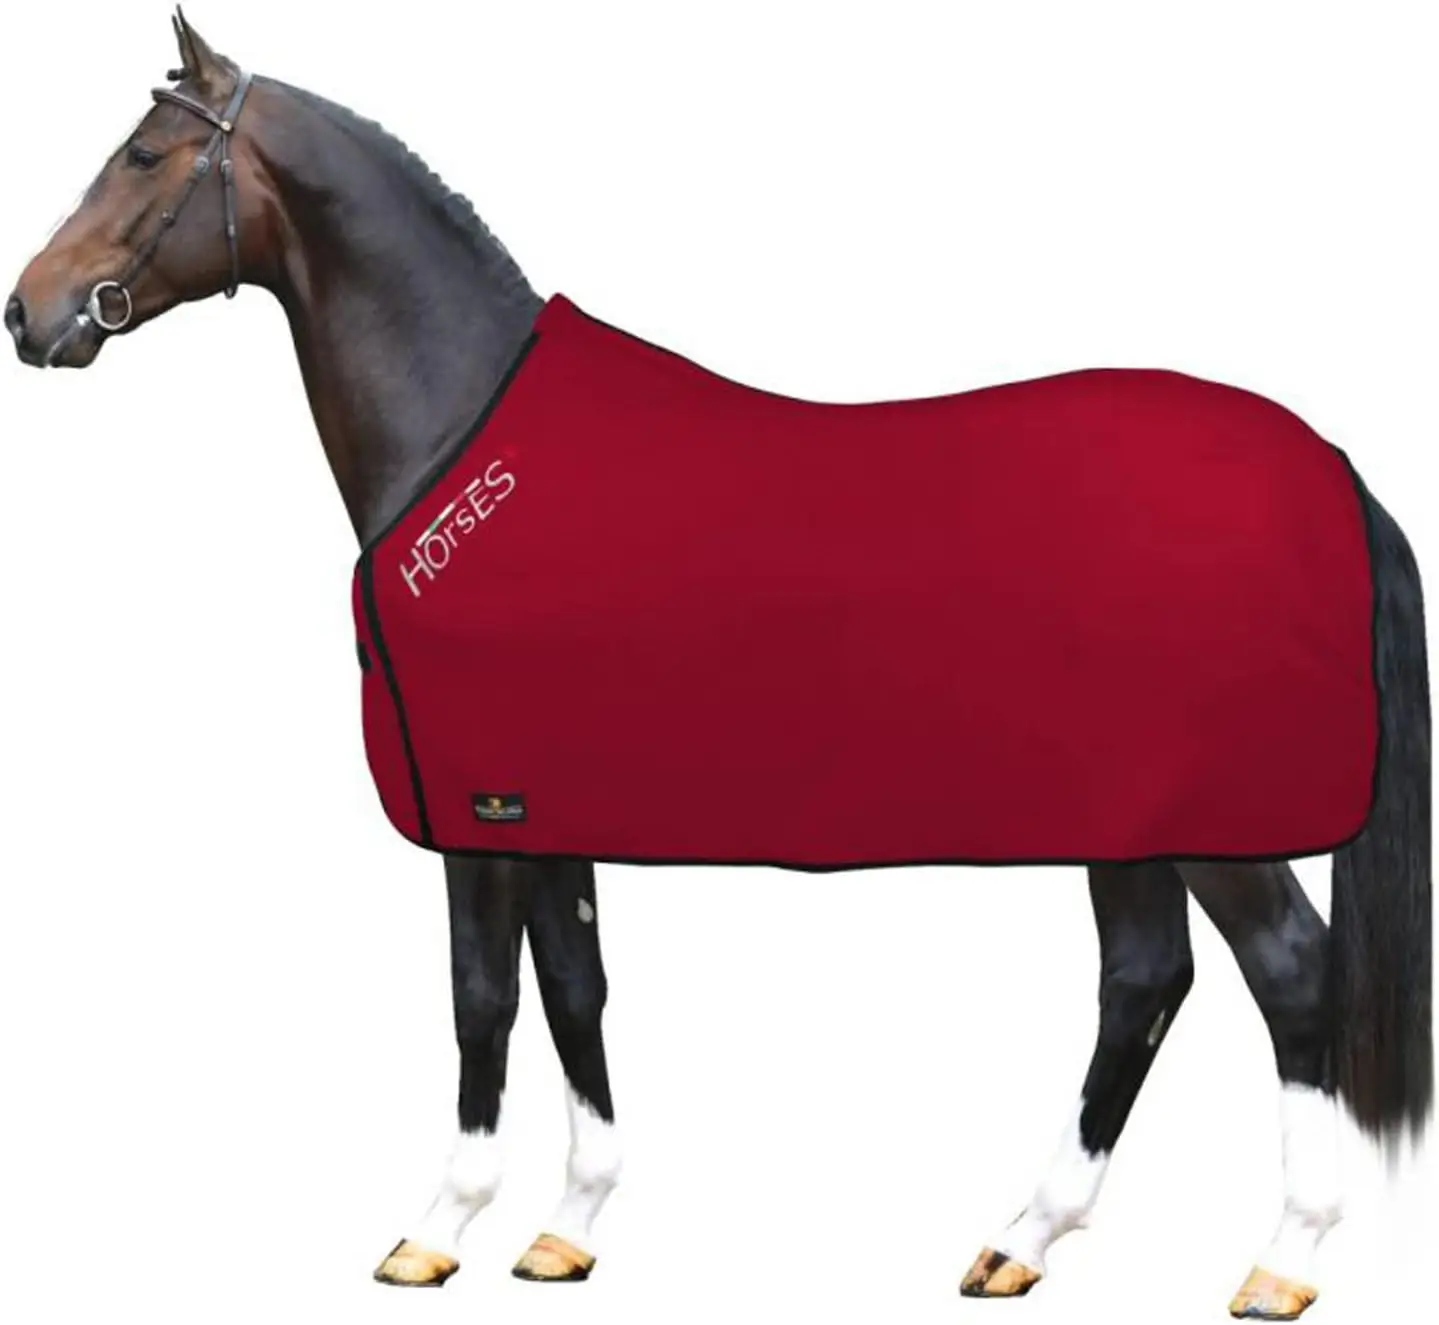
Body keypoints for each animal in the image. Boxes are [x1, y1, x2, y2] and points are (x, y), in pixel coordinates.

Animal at [5, 11, 1430, 1319]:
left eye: (143, 155)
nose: (29, 310)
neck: (463, 429)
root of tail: (1329, 468)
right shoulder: (545, 805)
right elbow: (573, 986)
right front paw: (567, 1224)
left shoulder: (476, 807)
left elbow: (482, 997)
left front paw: (438, 1226)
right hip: (1124, 821)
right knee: (1142, 981)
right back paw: (1019, 1237)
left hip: (1214, 824)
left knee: (1286, 976)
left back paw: (1281, 1258)